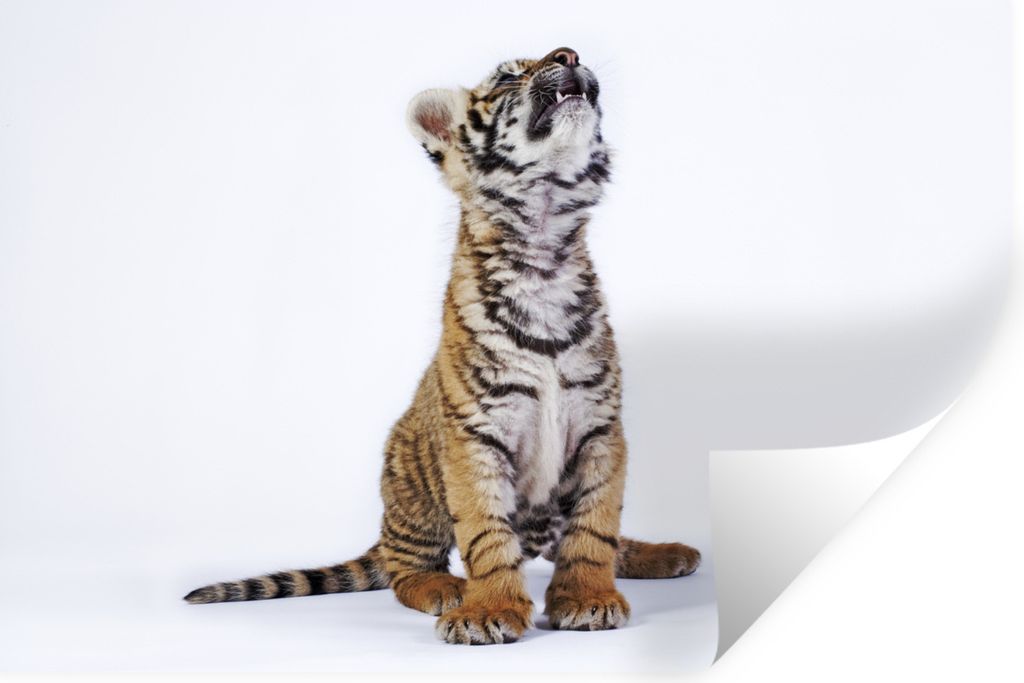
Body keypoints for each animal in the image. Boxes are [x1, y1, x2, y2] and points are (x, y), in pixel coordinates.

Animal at [184, 47, 701, 646]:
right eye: (508, 76)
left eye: (558, 56)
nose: (568, 53)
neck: (544, 244)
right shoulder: (475, 434)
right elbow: (485, 533)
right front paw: (487, 610)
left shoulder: (601, 428)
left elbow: (595, 527)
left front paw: (588, 598)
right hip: (411, 485)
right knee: (402, 568)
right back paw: (444, 589)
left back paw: (665, 554)